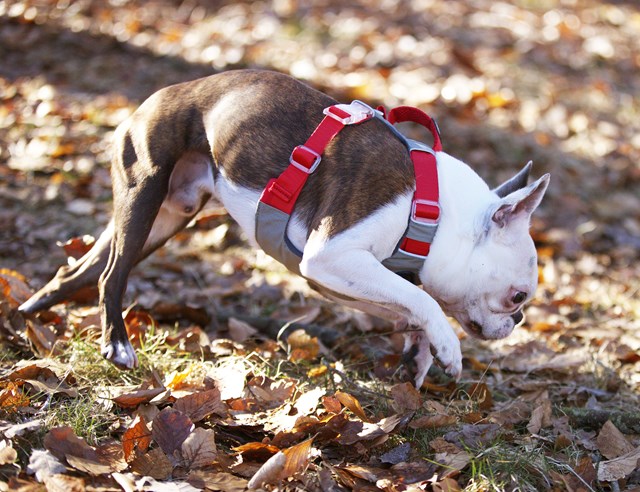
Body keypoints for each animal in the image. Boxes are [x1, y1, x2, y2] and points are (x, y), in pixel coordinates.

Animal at [20, 69, 552, 386]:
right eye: (517, 297)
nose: (519, 321)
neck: (434, 210)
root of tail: (156, 96)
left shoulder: (335, 276)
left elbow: (406, 303)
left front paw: (419, 353)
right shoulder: (332, 256)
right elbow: (422, 300)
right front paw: (446, 348)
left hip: (169, 215)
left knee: (81, 271)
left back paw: (32, 314)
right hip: (146, 191)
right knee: (112, 275)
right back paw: (116, 344)